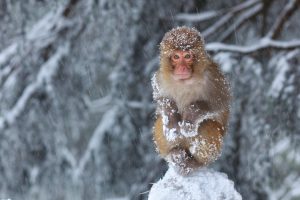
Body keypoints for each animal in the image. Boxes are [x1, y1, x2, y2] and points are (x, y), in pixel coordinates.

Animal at [152, 27, 230, 175]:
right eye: (176, 57)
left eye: (187, 56)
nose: (182, 68)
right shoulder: (159, 78)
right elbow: (161, 99)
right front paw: (171, 120)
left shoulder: (214, 77)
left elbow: (220, 103)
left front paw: (190, 115)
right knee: (160, 122)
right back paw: (175, 154)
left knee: (206, 125)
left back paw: (195, 164)